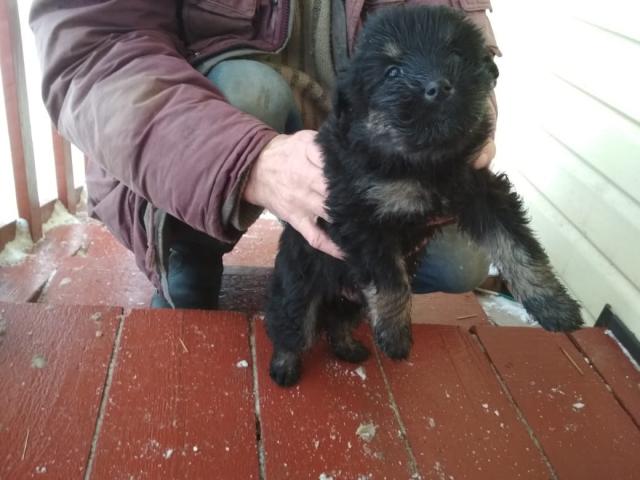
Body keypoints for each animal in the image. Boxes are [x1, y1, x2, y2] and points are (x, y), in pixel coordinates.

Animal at [265, 5, 583, 387]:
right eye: (393, 72)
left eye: (455, 54)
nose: (439, 87)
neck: (425, 161)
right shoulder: (360, 216)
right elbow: (390, 277)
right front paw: (395, 334)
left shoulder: (481, 190)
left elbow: (518, 246)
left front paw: (554, 304)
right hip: (300, 288)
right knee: (292, 327)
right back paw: (284, 367)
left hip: (351, 301)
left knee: (338, 323)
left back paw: (348, 348)